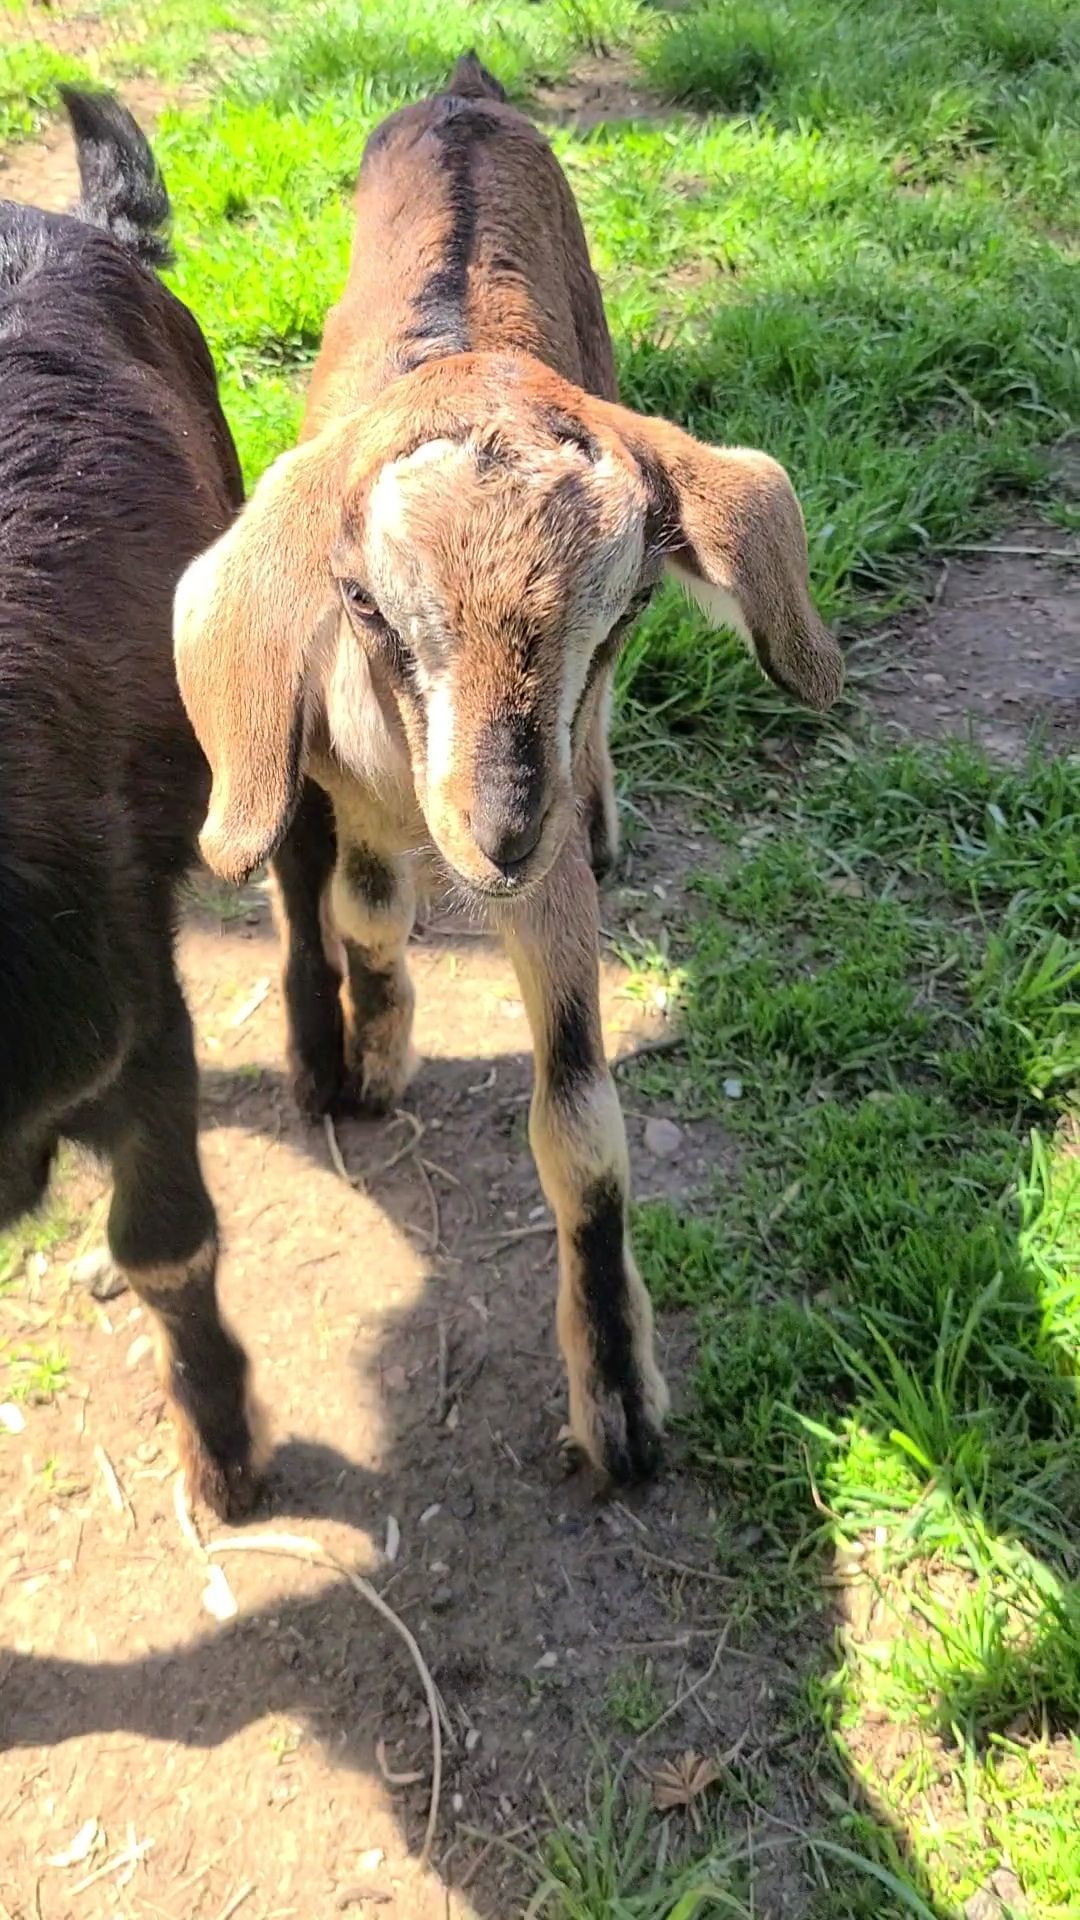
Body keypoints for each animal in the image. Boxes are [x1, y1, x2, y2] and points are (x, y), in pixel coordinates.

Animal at [174, 54, 843, 1486]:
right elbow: (366, 914)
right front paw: (375, 1059)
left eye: (632, 602)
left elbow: (582, 1128)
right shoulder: (352, 797)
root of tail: (469, 90)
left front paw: (620, 1400)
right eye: (361, 604)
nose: (498, 834)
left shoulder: (542, 891)